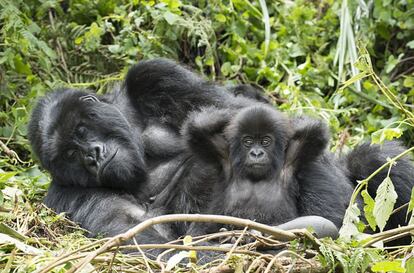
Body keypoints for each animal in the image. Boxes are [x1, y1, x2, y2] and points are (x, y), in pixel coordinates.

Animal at [184, 104, 350, 236]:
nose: (256, 153)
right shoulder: (223, 155)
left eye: (265, 141)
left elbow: (313, 131)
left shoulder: (294, 155)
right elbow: (200, 127)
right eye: (248, 141)